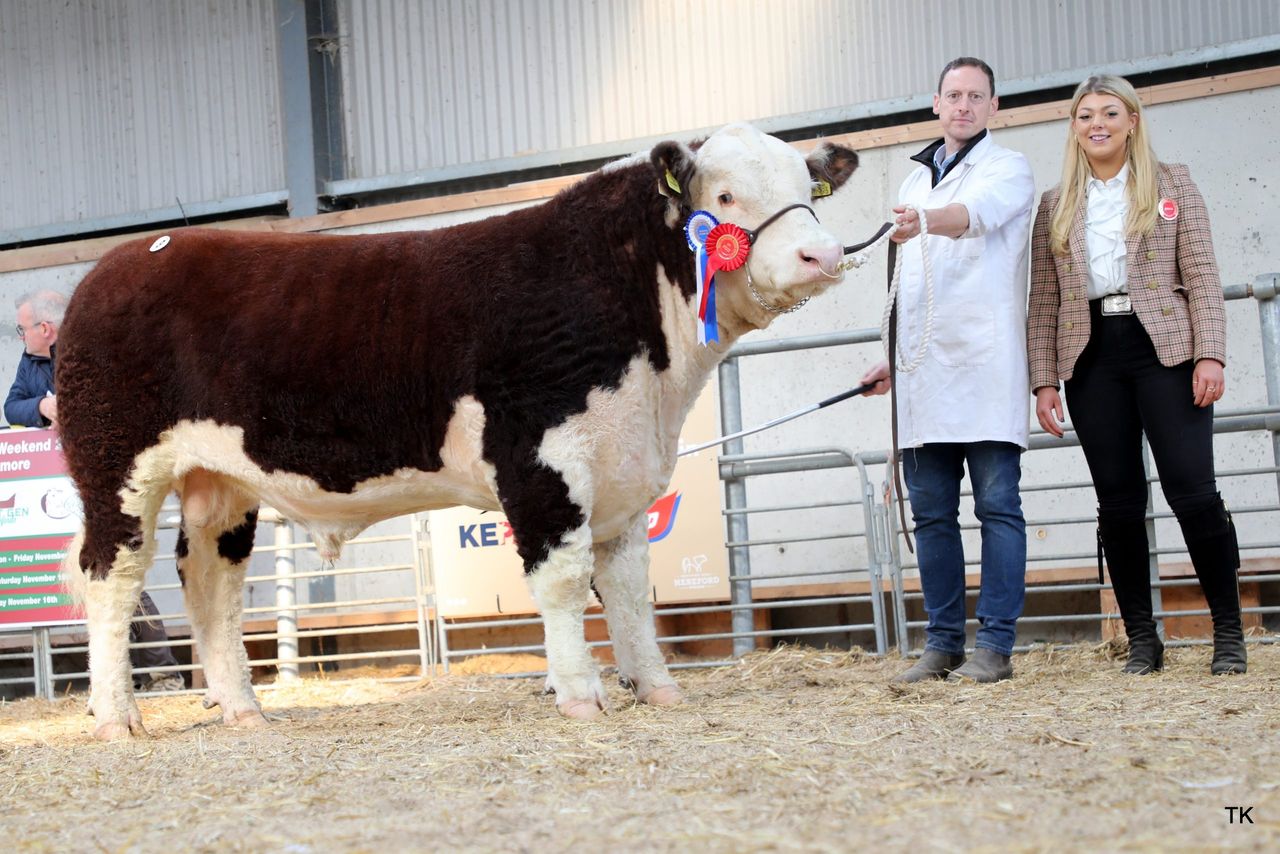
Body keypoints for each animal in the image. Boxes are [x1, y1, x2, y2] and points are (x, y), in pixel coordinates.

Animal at [57, 123, 859, 740]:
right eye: (723, 197)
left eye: (807, 188)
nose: (823, 256)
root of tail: (117, 263)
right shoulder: (541, 457)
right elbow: (564, 581)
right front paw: (581, 695)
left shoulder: (625, 467)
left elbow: (630, 586)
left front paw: (658, 687)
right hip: (116, 466)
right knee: (111, 577)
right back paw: (116, 718)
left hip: (218, 480)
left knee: (210, 582)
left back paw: (245, 711)